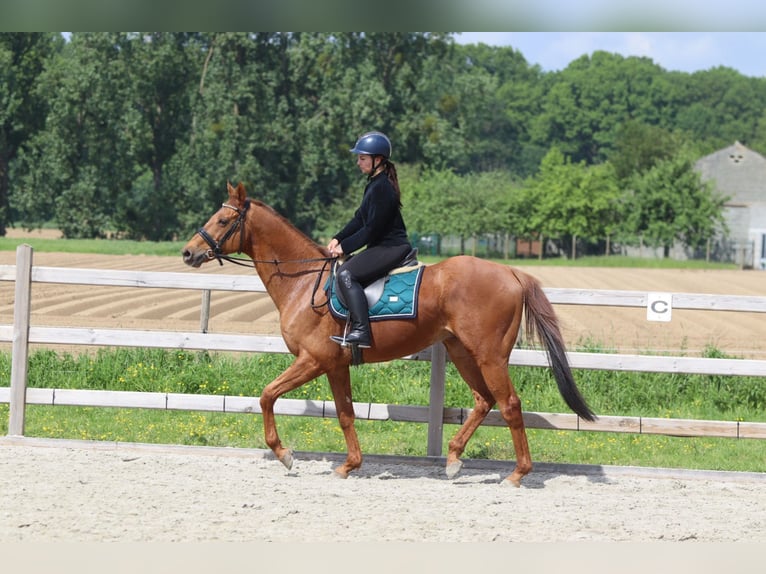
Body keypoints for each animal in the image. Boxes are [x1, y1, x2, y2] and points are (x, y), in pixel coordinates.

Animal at [181, 181, 596, 487]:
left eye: (222, 219)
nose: (188, 253)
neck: (303, 282)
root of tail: (511, 272)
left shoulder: (313, 360)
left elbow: (267, 395)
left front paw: (284, 455)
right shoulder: (335, 365)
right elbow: (345, 413)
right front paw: (349, 465)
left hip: (489, 355)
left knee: (509, 404)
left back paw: (517, 474)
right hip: (462, 352)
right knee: (483, 400)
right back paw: (453, 459)